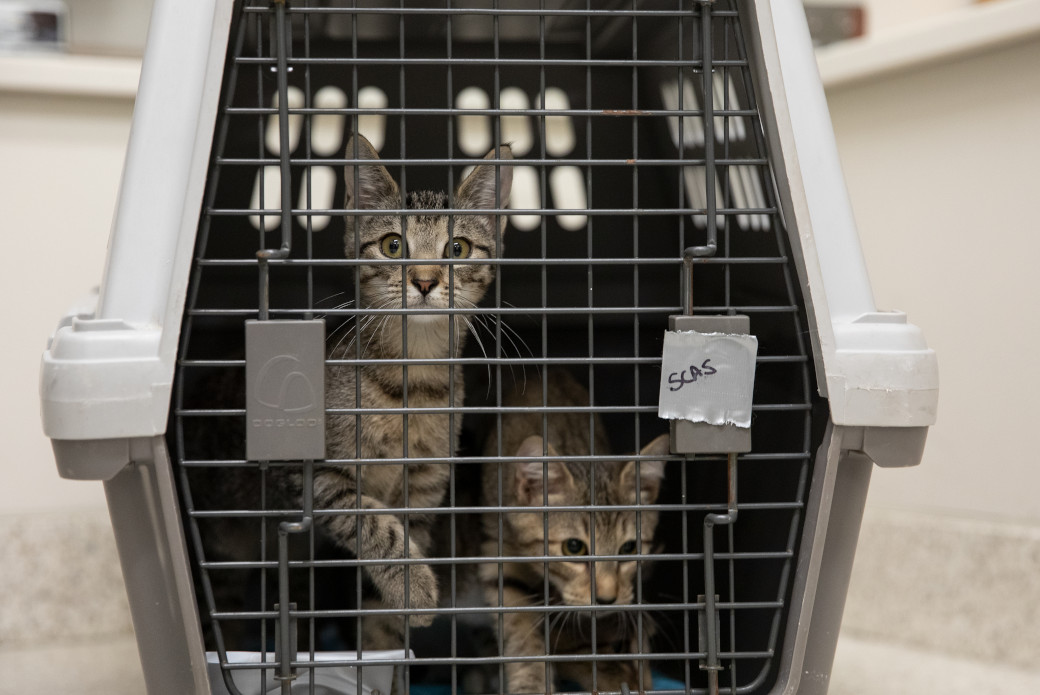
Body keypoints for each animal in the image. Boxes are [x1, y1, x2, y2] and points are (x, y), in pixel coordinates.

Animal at [476, 372, 665, 690]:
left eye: (629, 548)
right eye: (573, 547)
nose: (607, 599)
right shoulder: (496, 551)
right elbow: (519, 627)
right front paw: (532, 682)